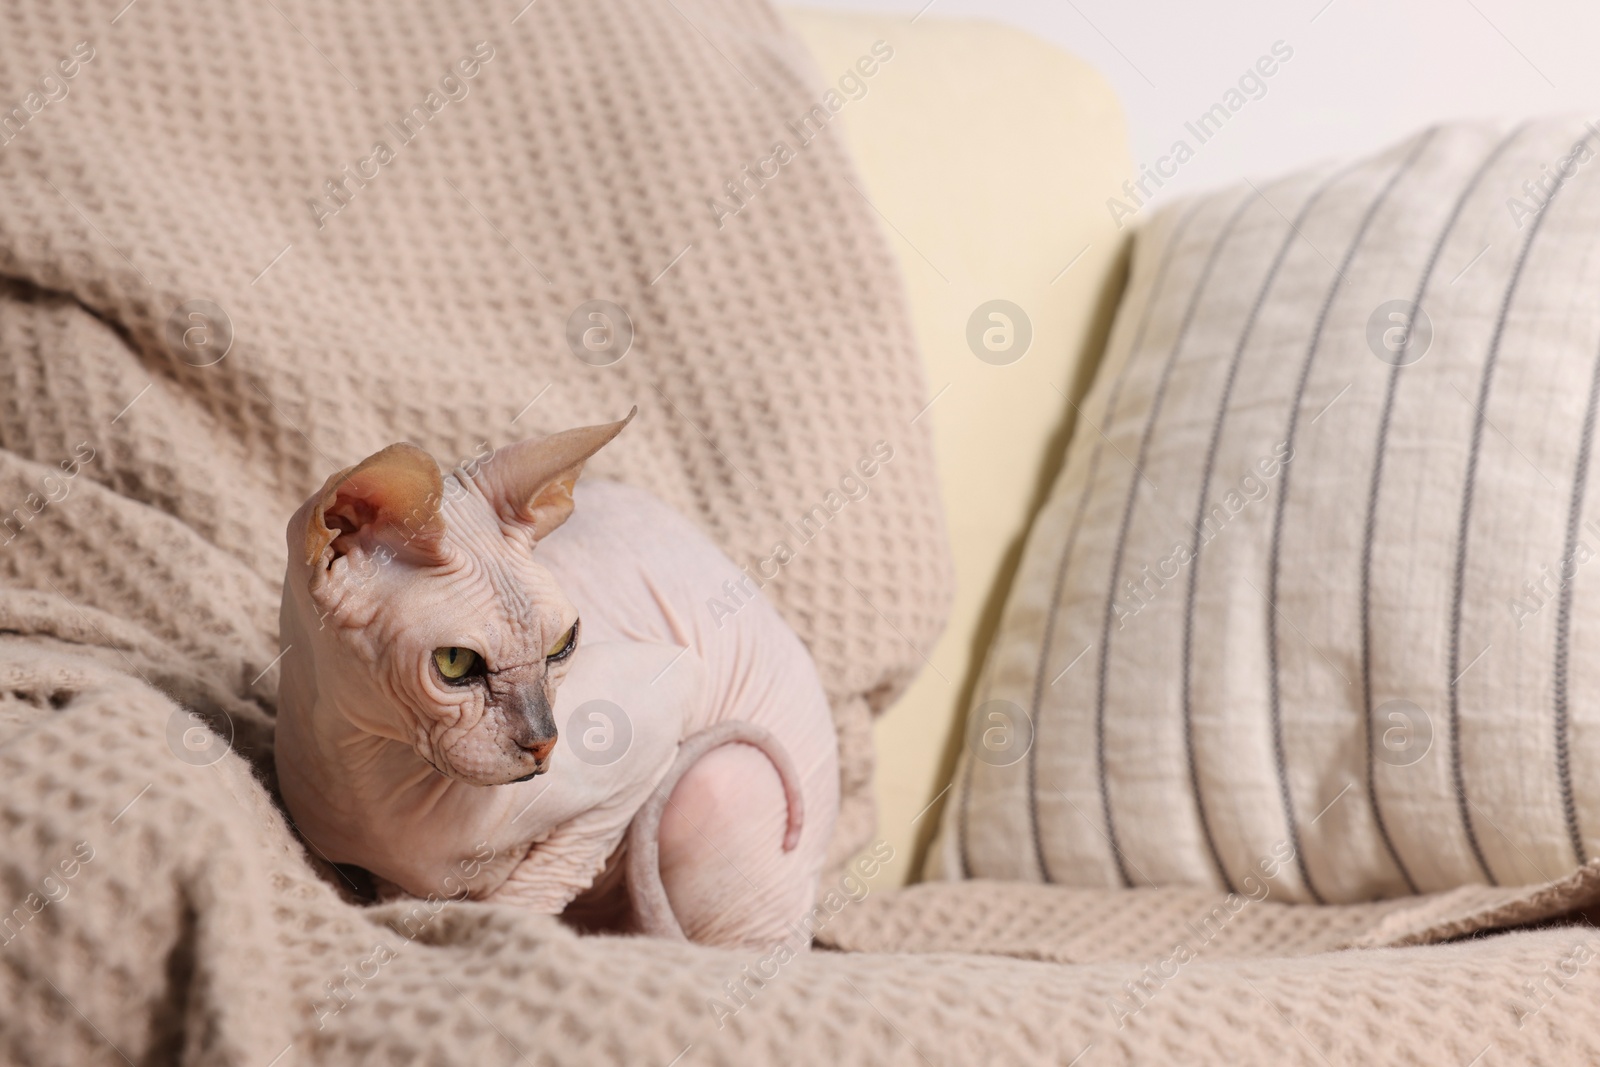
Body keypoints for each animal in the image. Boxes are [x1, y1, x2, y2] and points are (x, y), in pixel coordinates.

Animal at [272, 412, 851, 947]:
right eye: (455, 662)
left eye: (562, 644)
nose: (545, 744)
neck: (367, 774)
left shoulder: (661, 712)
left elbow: (547, 878)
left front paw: (505, 927)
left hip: (716, 784)